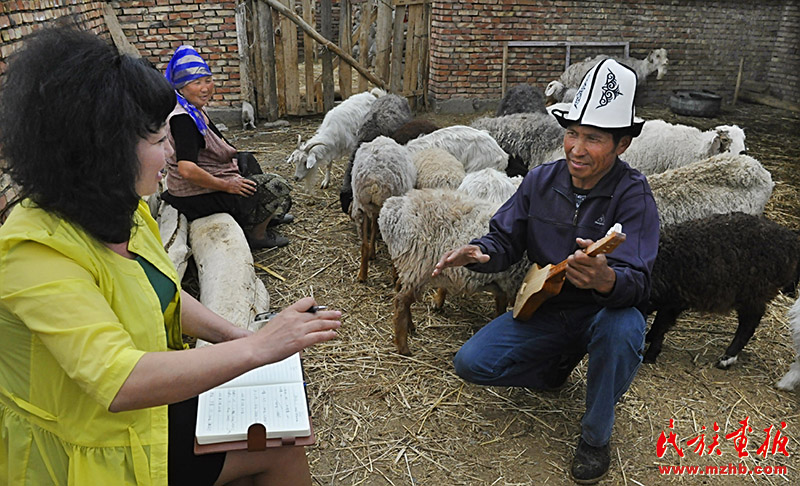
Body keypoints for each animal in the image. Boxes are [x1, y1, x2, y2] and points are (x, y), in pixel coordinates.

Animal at [352, 136, 418, 280]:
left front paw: (372, 253)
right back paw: (395, 276)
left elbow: (374, 228)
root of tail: (374, 179)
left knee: (364, 244)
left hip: (361, 205)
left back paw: (362, 274)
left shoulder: (374, 210)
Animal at [376, 188, 528, 356]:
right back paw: (404, 348)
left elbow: (500, 306)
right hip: (417, 264)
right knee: (401, 301)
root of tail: (393, 207)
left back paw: (410, 327)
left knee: (401, 291)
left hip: (410, 268)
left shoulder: (504, 283)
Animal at [644, 212, 800, 368]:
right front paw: (648, 339)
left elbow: (661, 325)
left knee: (749, 323)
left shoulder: (673, 300)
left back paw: (727, 358)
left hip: (753, 291)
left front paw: (650, 354)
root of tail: (791, 241)